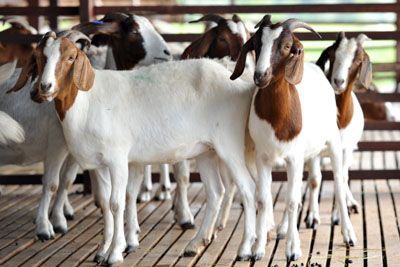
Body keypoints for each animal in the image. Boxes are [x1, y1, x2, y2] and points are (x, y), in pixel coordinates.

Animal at [12, 31, 255, 266]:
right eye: (39, 57)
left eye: (71, 57)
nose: (44, 87)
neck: (87, 102)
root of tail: (234, 75)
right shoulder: (99, 164)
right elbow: (105, 203)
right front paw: (103, 250)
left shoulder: (118, 159)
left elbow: (116, 203)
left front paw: (114, 253)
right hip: (206, 150)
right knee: (216, 192)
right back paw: (195, 244)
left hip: (230, 144)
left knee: (247, 189)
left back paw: (245, 250)